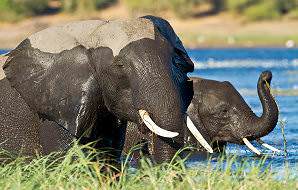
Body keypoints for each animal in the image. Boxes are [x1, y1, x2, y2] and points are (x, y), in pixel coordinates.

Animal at [1, 15, 212, 162]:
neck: (94, 32)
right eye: (119, 66)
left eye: (177, 62)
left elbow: (108, 155)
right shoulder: (52, 105)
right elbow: (64, 157)